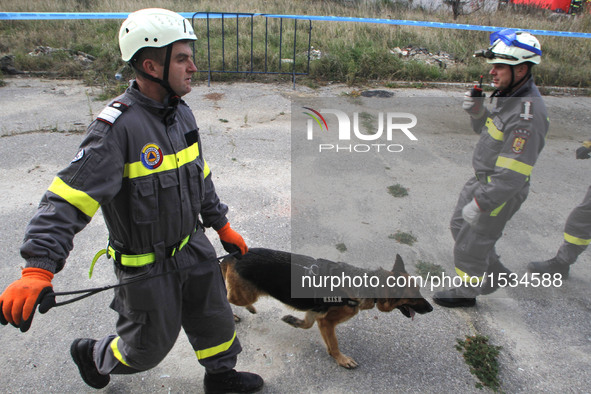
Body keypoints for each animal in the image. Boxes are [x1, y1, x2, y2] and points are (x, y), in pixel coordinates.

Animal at [220, 248, 432, 368]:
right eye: (415, 296)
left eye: (419, 290)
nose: (431, 308)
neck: (366, 285)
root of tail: (233, 256)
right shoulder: (327, 322)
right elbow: (334, 344)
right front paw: (341, 359)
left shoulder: (316, 313)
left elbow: (307, 324)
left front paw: (293, 321)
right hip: (244, 295)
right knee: (226, 295)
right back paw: (236, 313)